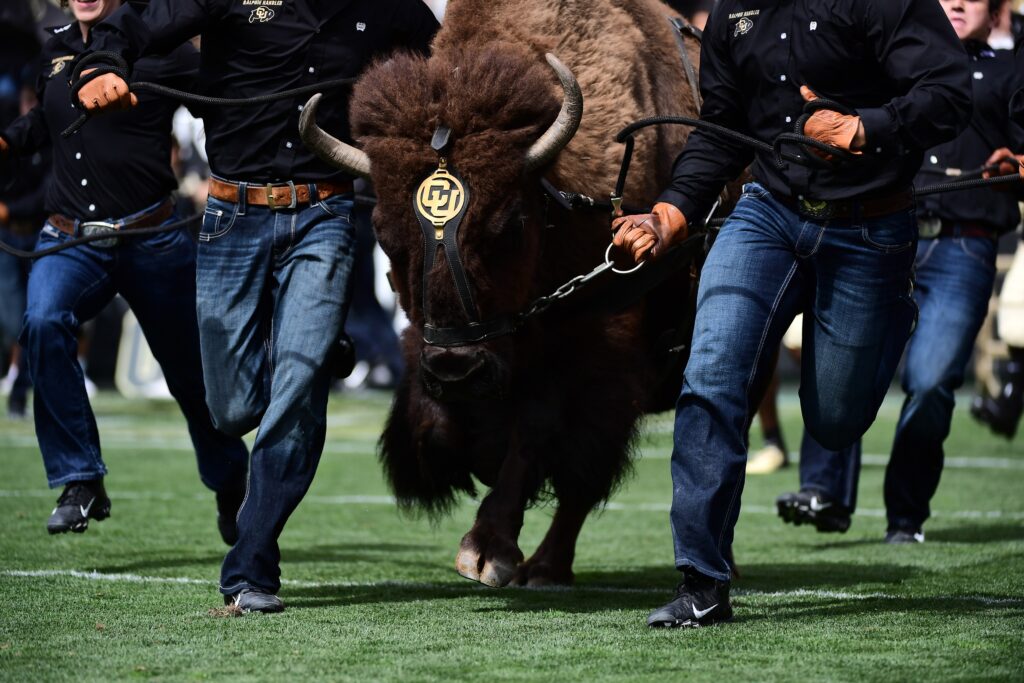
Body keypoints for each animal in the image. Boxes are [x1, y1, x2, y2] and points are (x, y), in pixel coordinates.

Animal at [299, 0, 708, 589]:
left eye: (510, 225)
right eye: (382, 232)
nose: (458, 369)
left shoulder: (596, 355)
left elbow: (543, 438)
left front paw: (486, 552)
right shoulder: (427, 344)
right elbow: (436, 424)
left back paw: (545, 568)